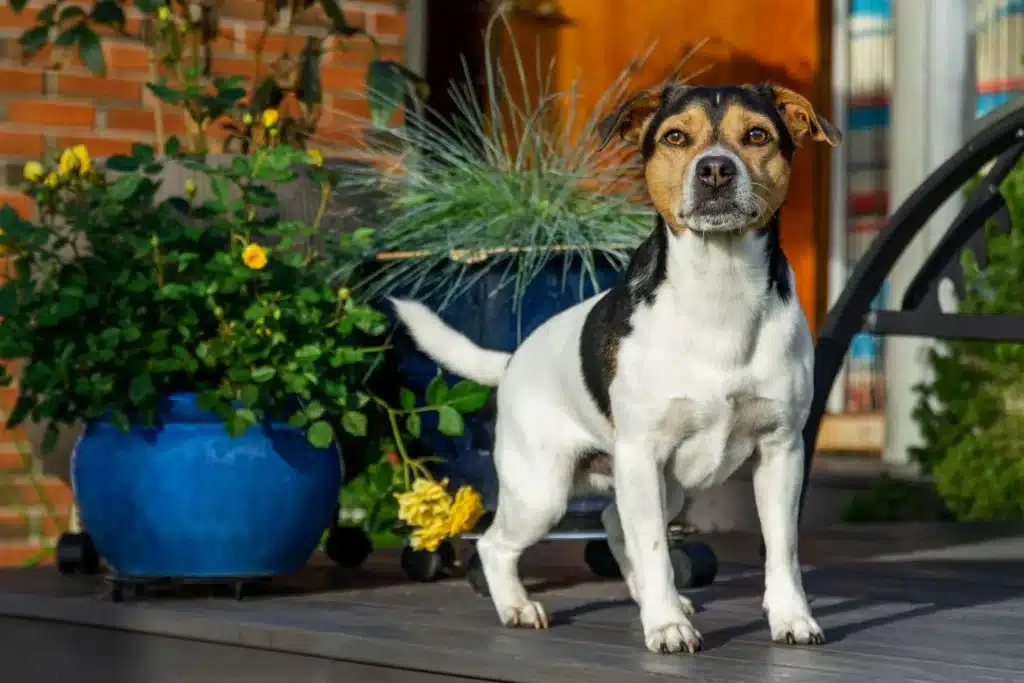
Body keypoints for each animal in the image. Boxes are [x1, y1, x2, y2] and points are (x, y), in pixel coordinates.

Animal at [389, 82, 839, 655]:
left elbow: (782, 550)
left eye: (757, 135)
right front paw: (666, 626)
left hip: (662, 486)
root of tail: (513, 360)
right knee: (496, 545)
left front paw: (790, 617)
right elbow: (654, 548)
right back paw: (519, 606)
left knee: (613, 523)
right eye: (676, 137)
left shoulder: (781, 451)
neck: (721, 289)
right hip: (545, 490)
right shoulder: (643, 453)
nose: (716, 169)